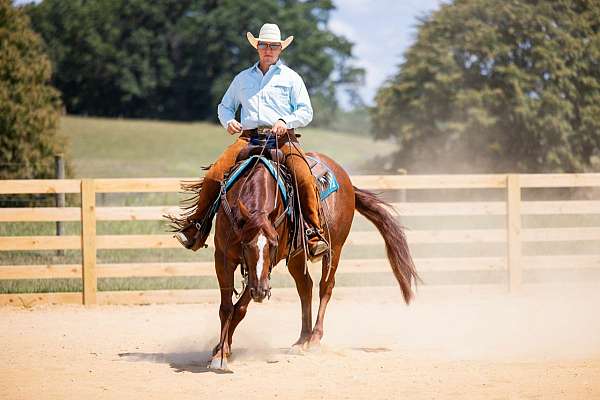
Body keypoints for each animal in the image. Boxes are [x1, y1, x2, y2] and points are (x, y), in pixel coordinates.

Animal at [176, 151, 420, 372]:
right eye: (246, 244)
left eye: (274, 244)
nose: (261, 292)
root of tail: (347, 181)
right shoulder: (223, 258)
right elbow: (226, 307)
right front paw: (220, 351)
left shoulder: (267, 266)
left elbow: (240, 308)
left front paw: (222, 352)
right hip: (296, 257)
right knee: (306, 287)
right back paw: (302, 339)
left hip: (335, 249)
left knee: (325, 287)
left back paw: (314, 339)